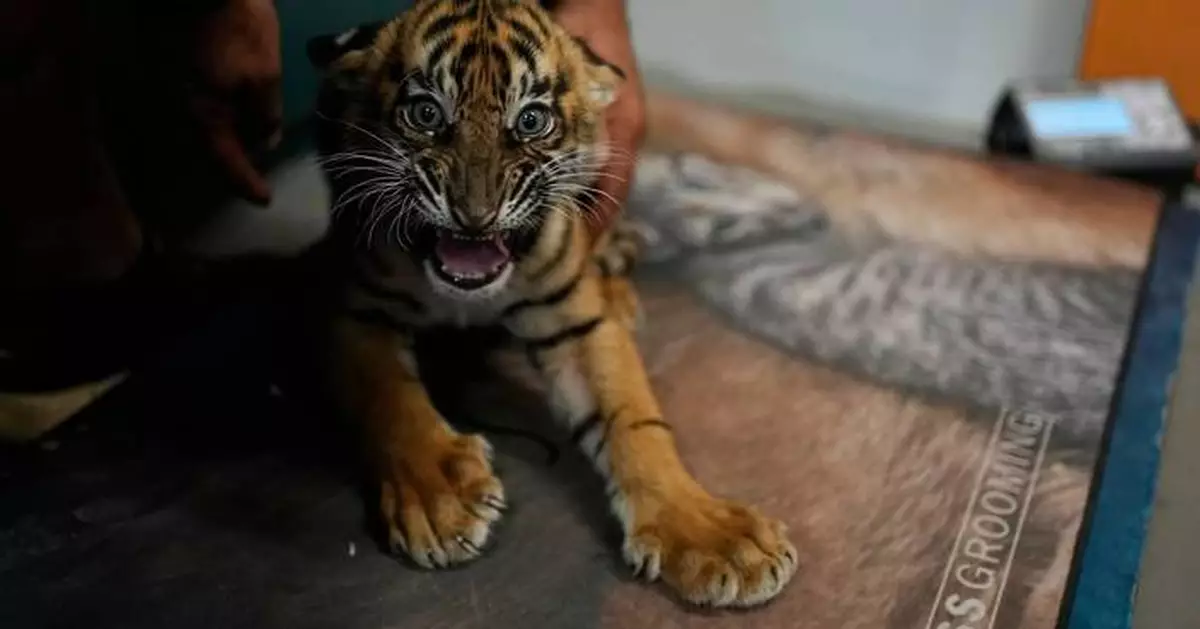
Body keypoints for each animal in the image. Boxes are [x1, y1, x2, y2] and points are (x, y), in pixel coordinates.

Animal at [306, 0, 797, 608]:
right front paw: (439, 498)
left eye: (531, 121)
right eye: (425, 113)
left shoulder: (575, 320)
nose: (475, 217)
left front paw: (711, 535)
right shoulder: (358, 308)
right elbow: (391, 401)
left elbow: (635, 421)